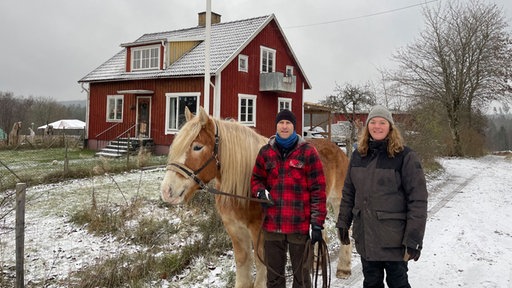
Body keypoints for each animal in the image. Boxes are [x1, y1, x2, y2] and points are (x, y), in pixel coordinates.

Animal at [162, 107, 350, 286]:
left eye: (197, 147)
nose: (166, 191)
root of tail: (338, 149)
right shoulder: (235, 230)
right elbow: (243, 264)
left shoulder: (260, 232)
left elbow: (262, 267)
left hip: (338, 201)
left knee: (343, 232)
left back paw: (344, 268)